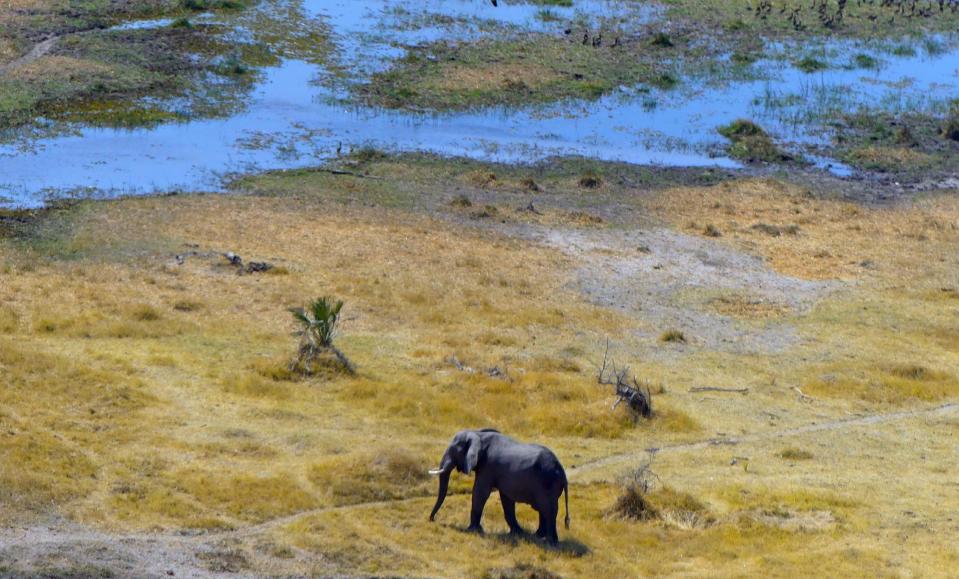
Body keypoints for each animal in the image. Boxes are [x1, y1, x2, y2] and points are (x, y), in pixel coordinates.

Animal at [428, 428, 568, 548]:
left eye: (453, 450)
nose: (432, 519)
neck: (478, 434)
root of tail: (562, 472)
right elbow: (506, 499)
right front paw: (517, 533)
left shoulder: (488, 467)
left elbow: (480, 492)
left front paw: (472, 530)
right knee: (544, 509)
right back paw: (537, 536)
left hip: (547, 484)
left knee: (547, 509)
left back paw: (549, 543)